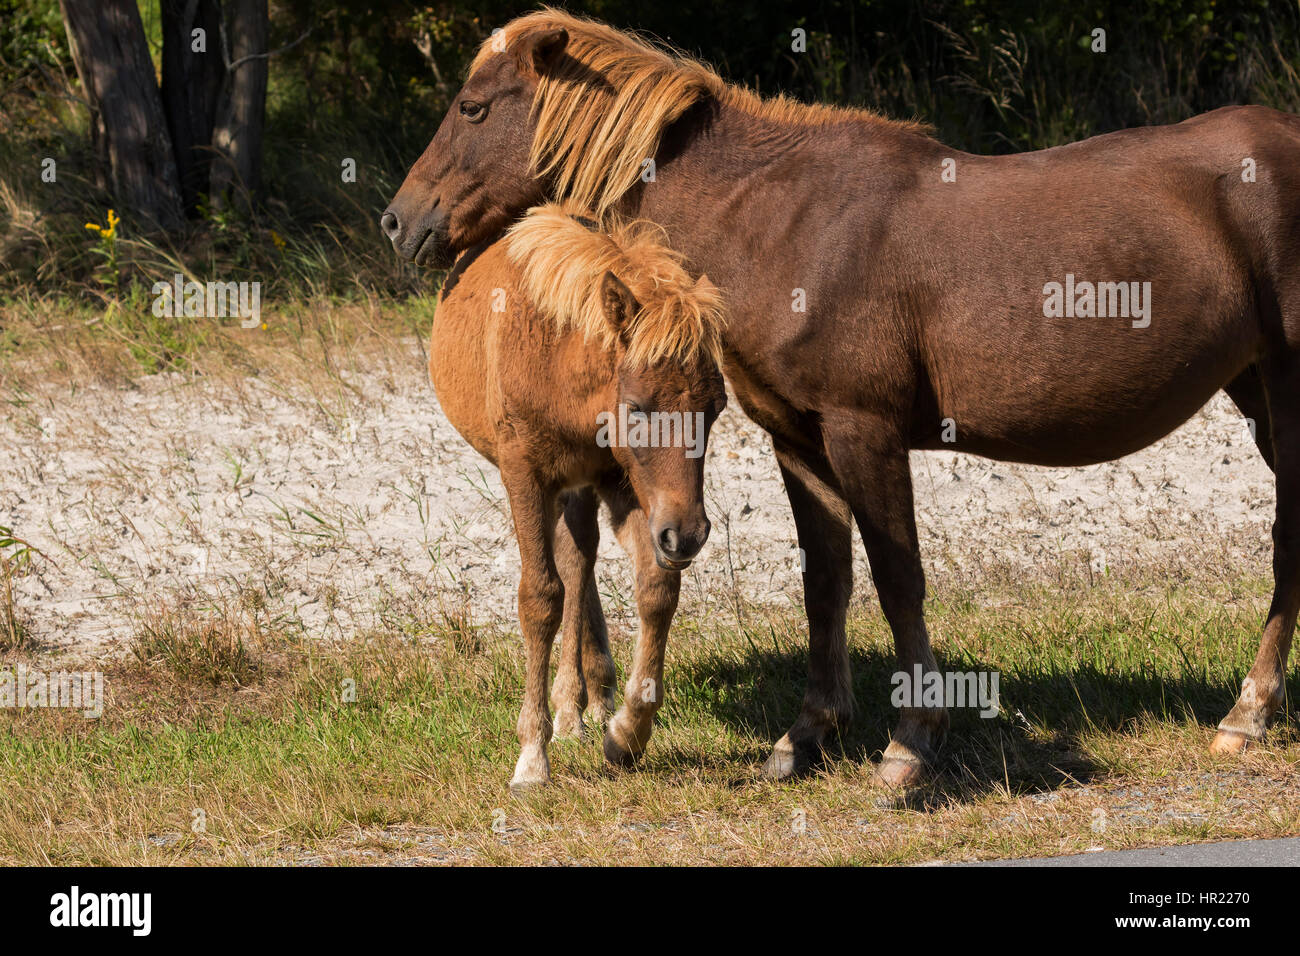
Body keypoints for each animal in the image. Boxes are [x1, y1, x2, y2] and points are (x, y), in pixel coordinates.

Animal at [428, 202, 726, 788]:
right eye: (637, 408)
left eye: (718, 407)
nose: (687, 535)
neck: (558, 360)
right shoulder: (524, 476)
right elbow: (540, 597)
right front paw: (531, 755)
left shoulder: (624, 485)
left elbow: (654, 587)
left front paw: (627, 732)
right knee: (570, 567)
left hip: (585, 489)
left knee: (579, 559)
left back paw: (583, 701)